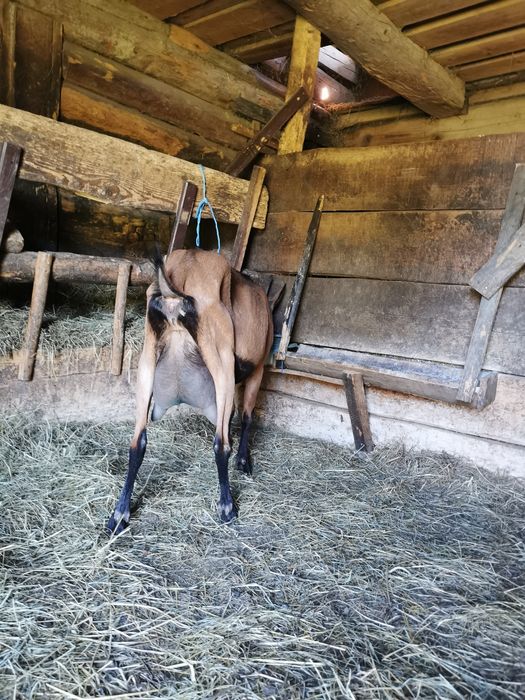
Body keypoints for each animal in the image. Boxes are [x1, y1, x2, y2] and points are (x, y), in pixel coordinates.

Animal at [108, 249, 273, 533]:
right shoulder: (257, 369)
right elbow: (246, 416)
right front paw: (243, 461)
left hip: (147, 360)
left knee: (137, 442)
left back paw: (120, 515)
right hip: (221, 361)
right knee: (220, 443)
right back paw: (227, 507)